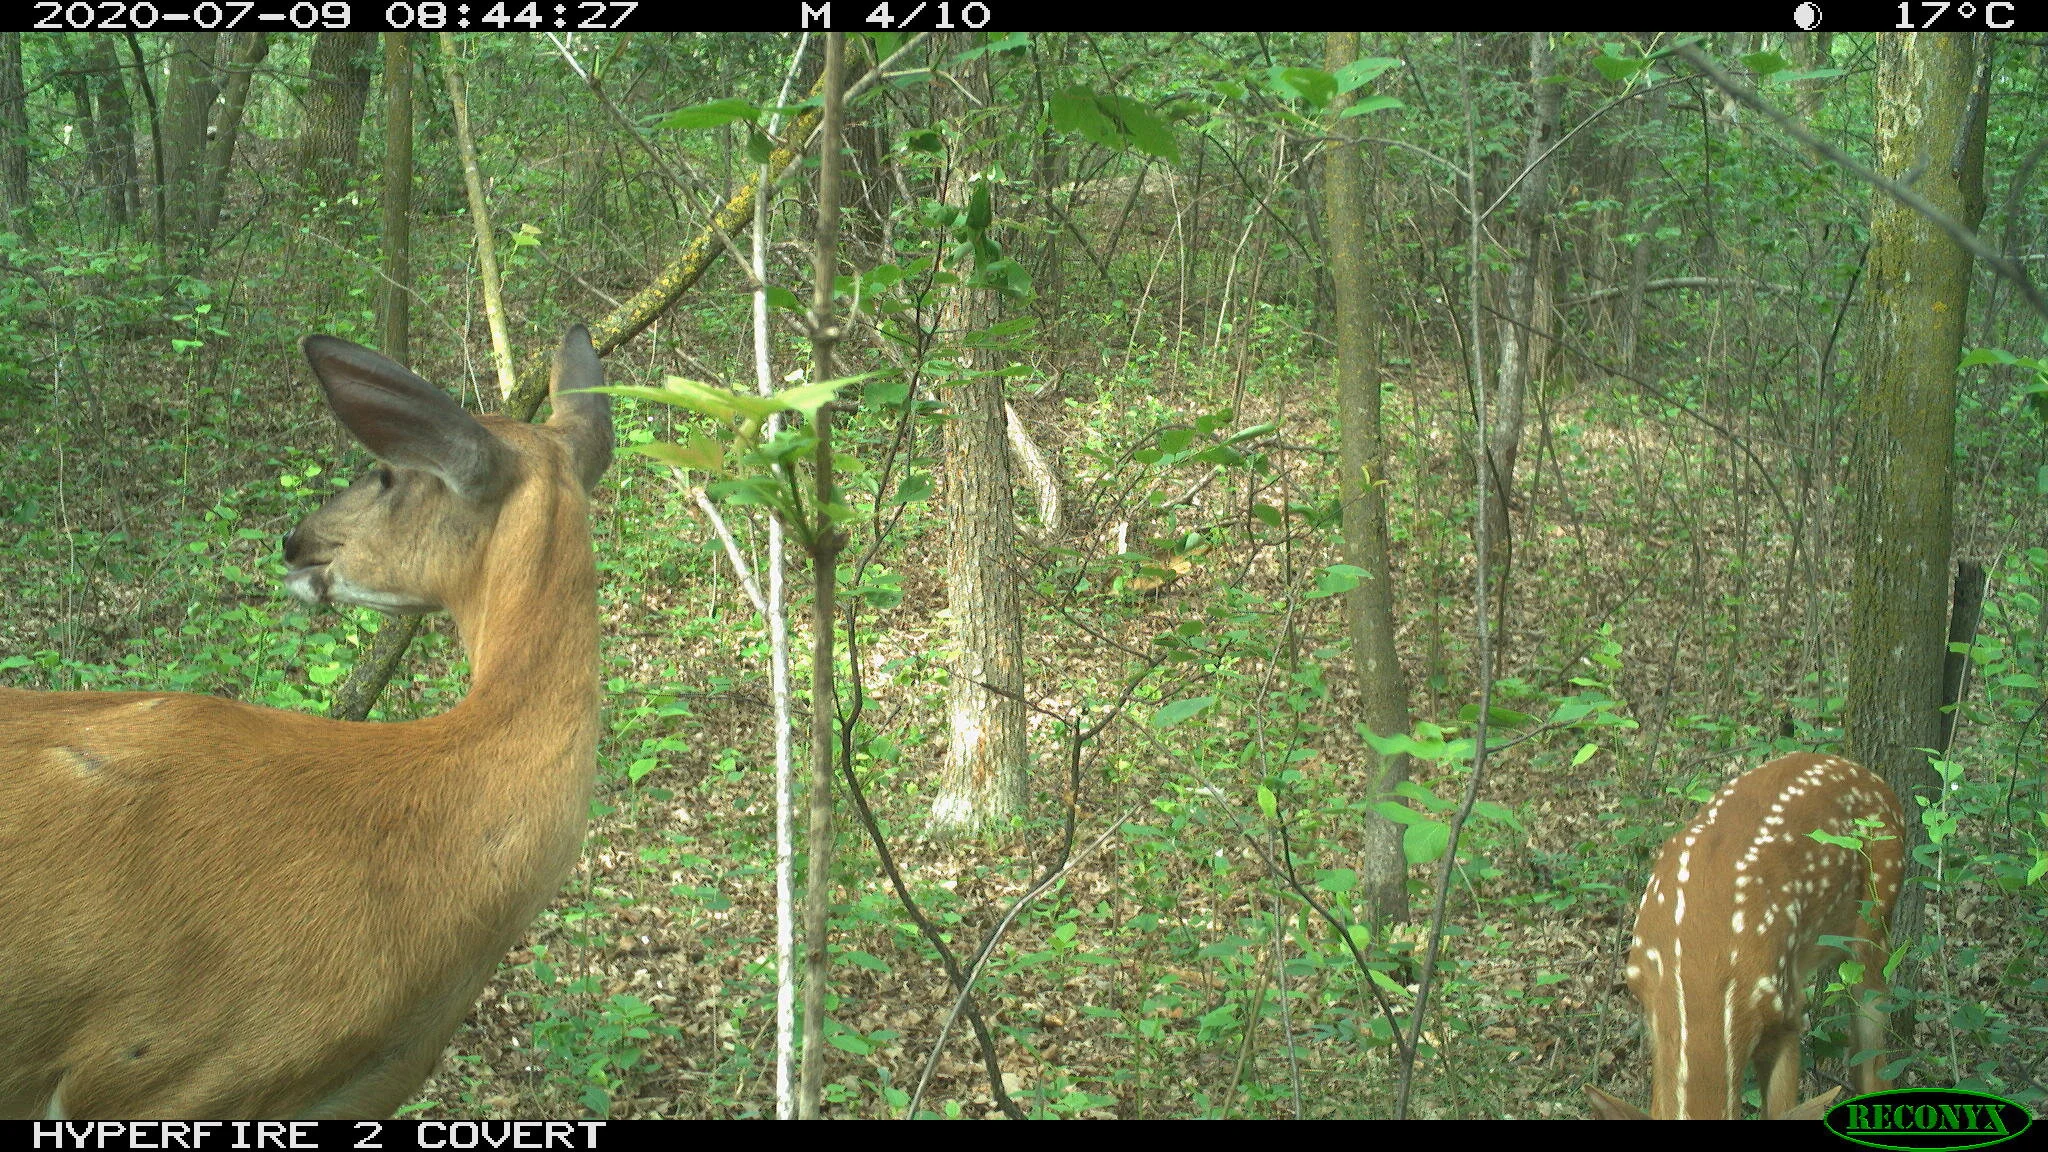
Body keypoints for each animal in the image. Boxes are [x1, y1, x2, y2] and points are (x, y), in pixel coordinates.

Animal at [1586, 752, 1905, 1120]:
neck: (1701, 971)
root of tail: (1862, 771)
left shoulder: (1786, 1012)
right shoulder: (1651, 1010)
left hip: (1876, 921)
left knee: (1875, 1064)